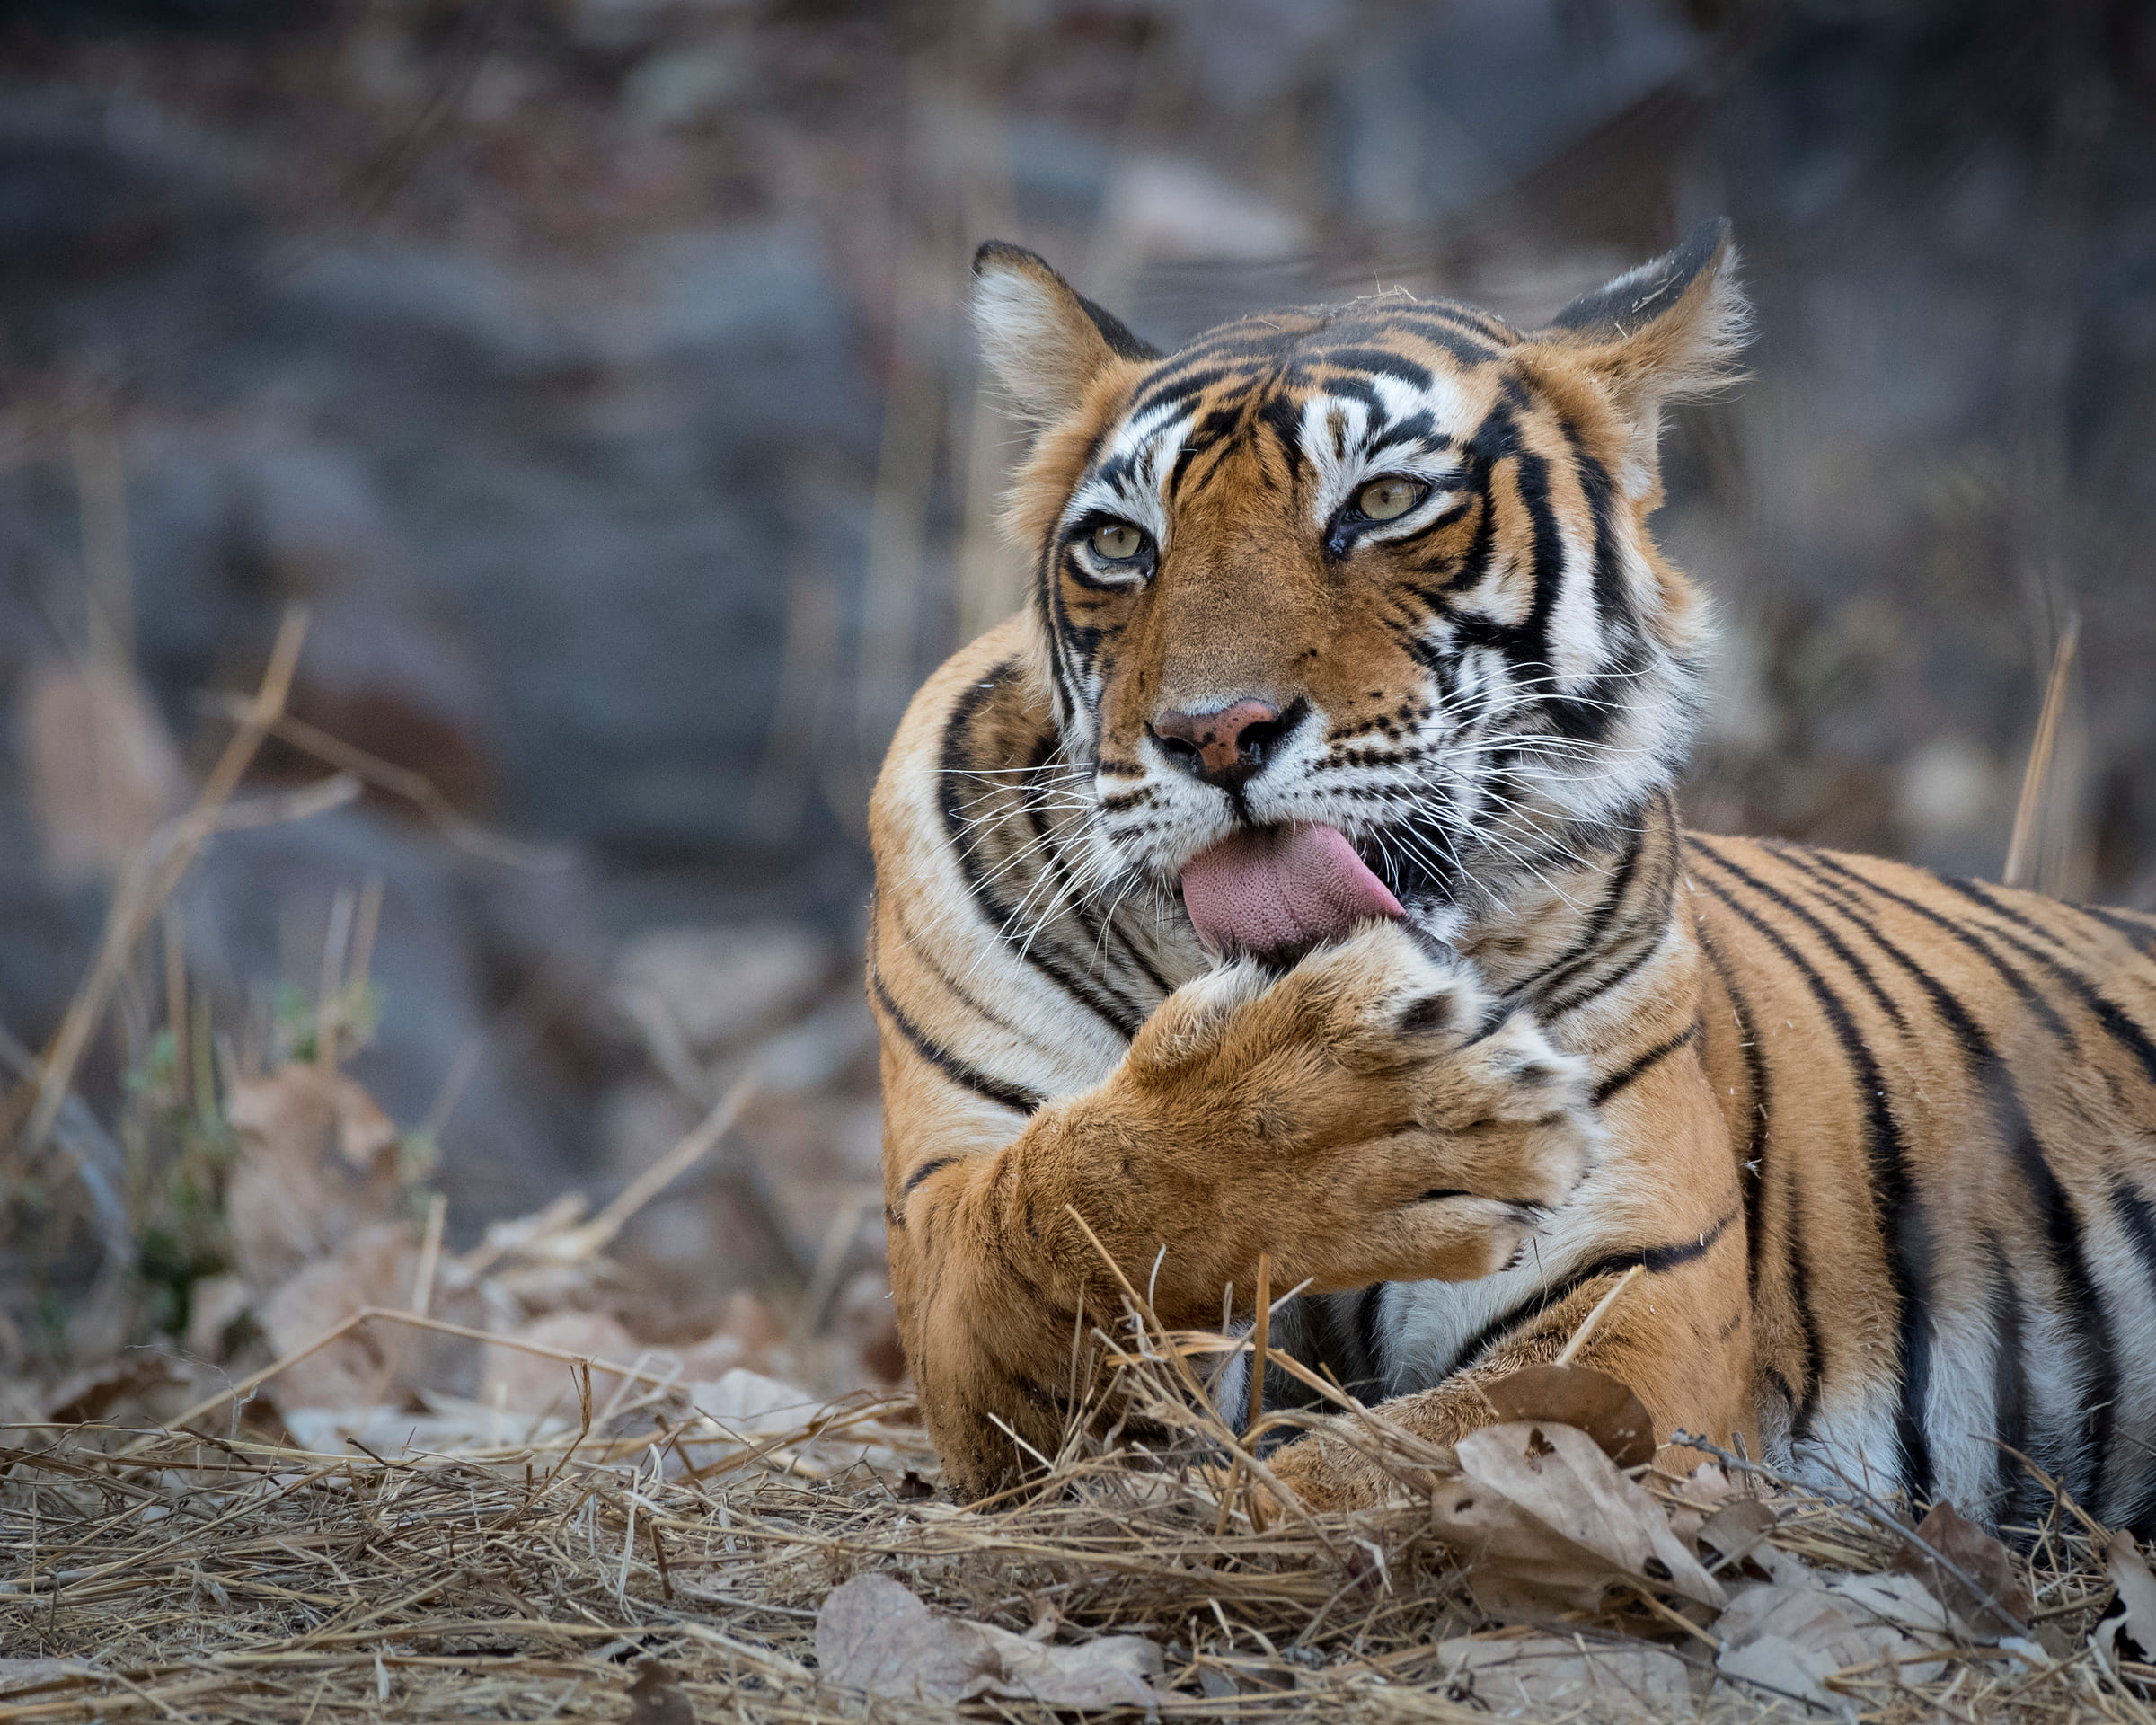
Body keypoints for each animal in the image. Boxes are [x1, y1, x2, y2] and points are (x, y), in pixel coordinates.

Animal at [866, 218, 2156, 1531]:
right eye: (1121, 544)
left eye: (1384, 500)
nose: (1213, 733)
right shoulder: (948, 1240)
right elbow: (1071, 1213)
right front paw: (1328, 1116)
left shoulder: (1630, 1305)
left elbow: (1382, 1461)